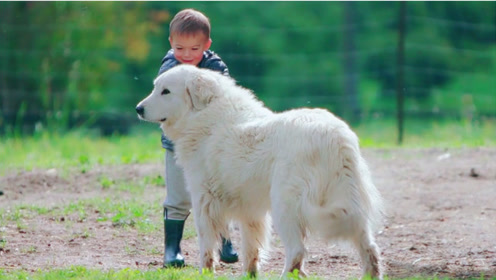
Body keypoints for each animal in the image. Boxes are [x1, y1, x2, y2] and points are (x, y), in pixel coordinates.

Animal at [138, 64, 386, 278]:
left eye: (166, 91)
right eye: (155, 87)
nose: (138, 109)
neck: (204, 116)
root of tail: (335, 135)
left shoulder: (203, 200)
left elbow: (206, 245)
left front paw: (205, 273)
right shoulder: (250, 209)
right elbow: (251, 248)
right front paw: (249, 275)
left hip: (286, 206)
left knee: (297, 251)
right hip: (348, 205)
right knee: (370, 247)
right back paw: (370, 275)